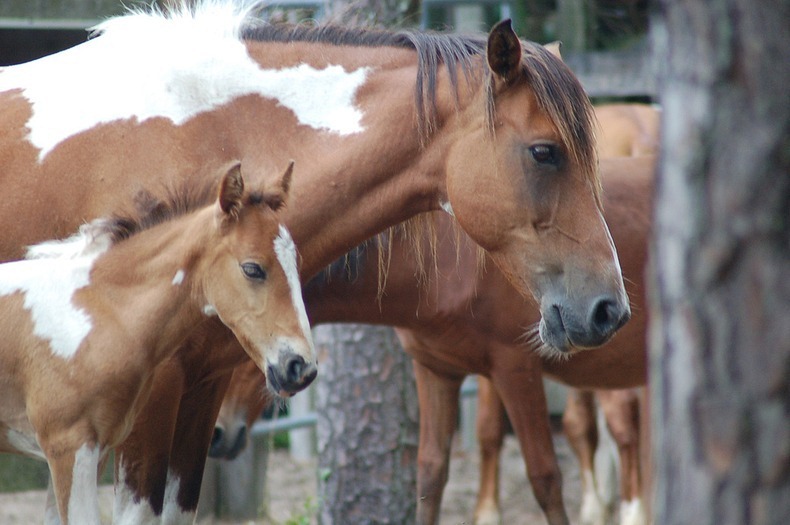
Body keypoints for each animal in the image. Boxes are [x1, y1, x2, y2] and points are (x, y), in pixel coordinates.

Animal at [0, 164, 312, 524]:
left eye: (296, 265)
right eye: (252, 268)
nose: (300, 366)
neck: (96, 312)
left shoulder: (97, 450)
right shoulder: (68, 447)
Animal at [215, 154, 656, 520]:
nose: (216, 434)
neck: (447, 261)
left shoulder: (516, 369)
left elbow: (545, 478)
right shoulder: (435, 371)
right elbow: (429, 475)